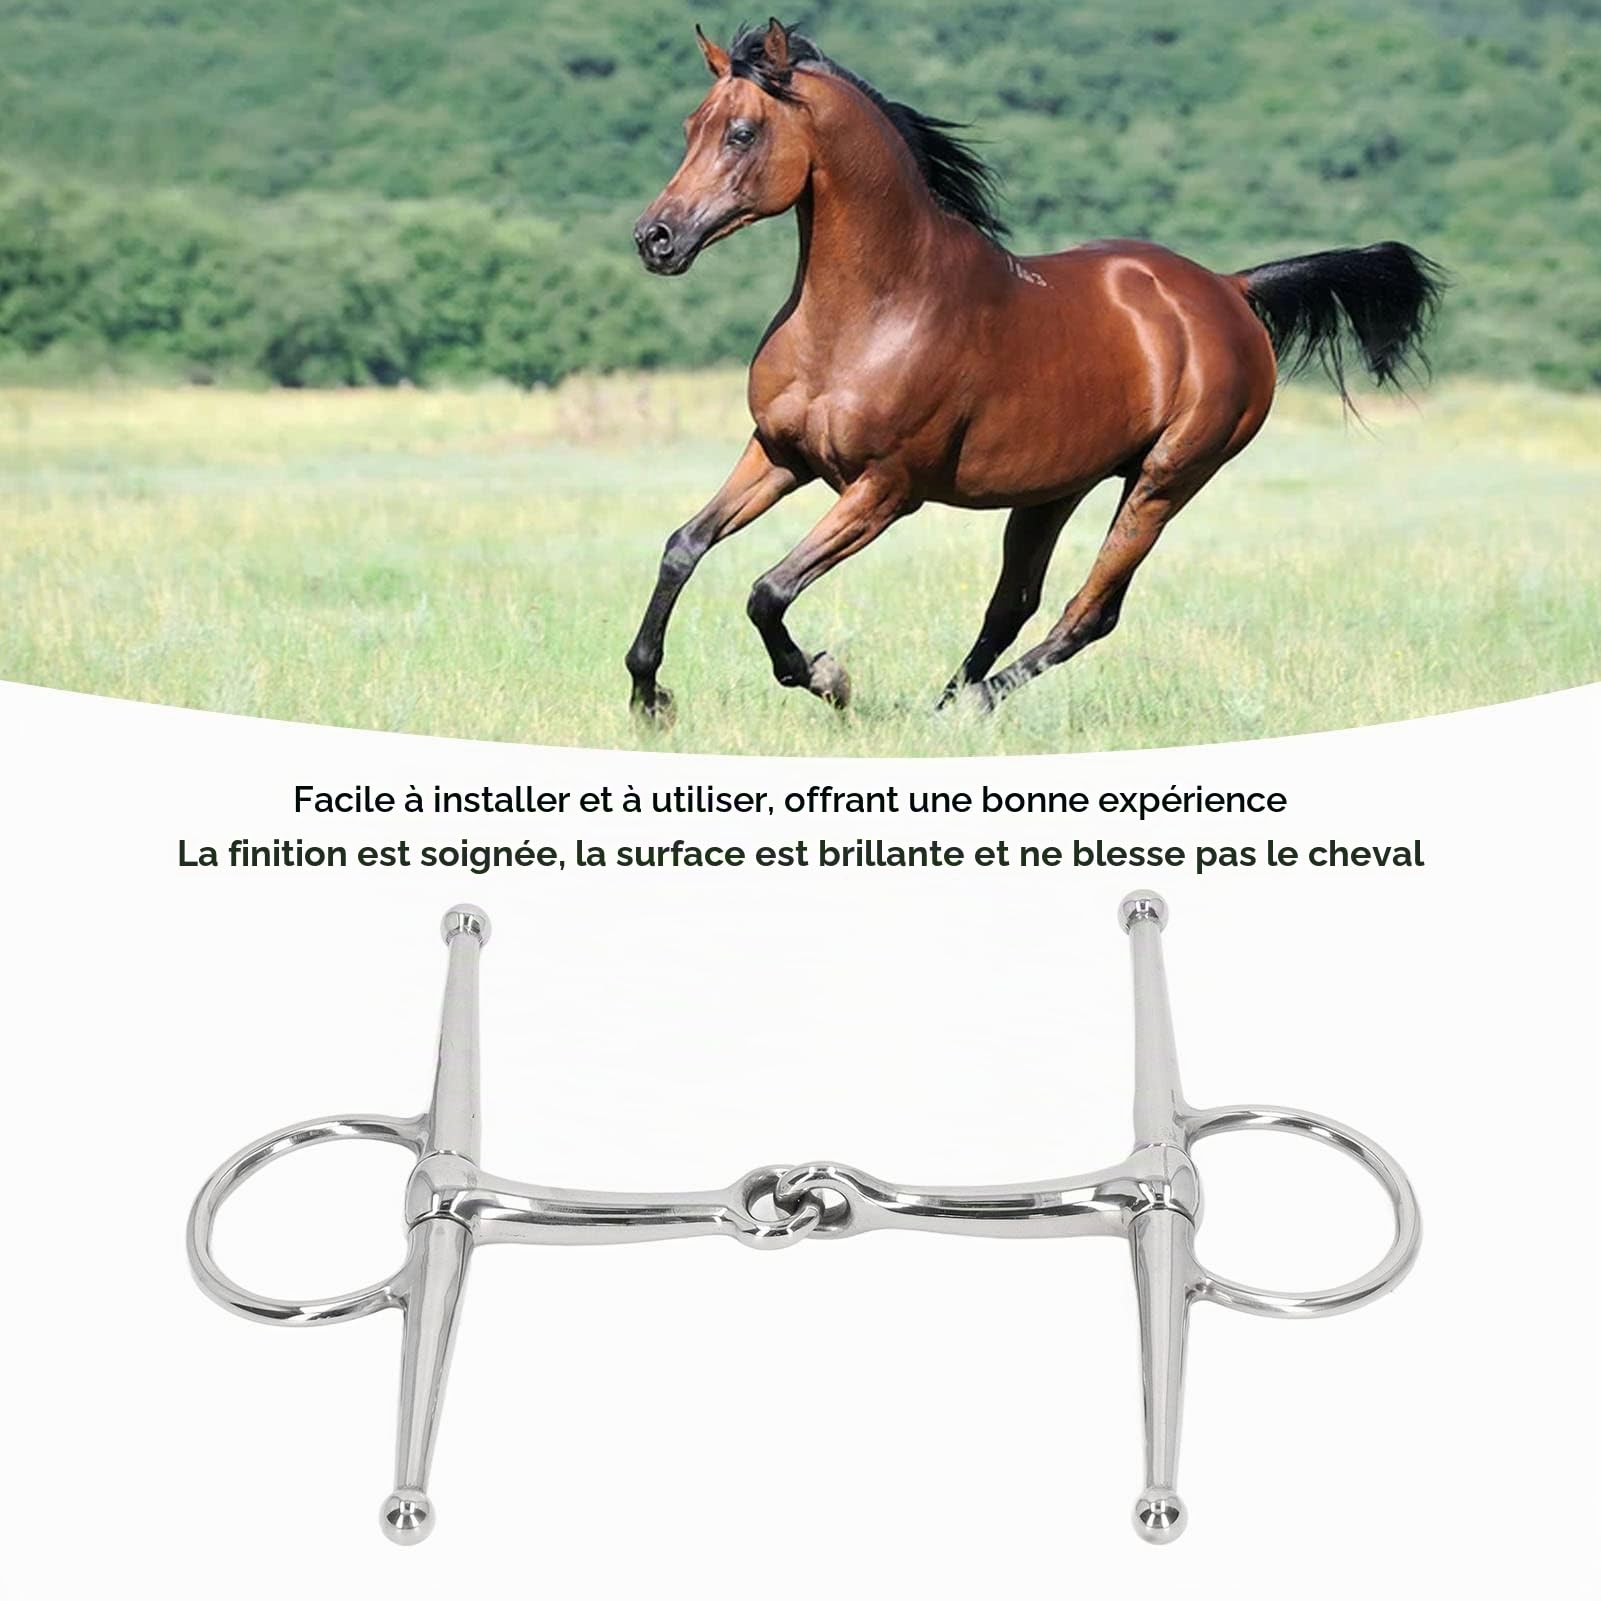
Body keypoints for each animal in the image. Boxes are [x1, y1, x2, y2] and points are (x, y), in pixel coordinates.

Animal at [624, 20, 1443, 724]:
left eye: (742, 132)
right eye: (691, 126)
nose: (654, 238)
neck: (874, 311)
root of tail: (1229, 288)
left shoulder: (885, 491)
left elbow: (768, 591)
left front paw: (829, 677)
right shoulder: (778, 454)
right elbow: (682, 547)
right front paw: (648, 697)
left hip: (1164, 480)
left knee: (1088, 611)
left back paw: (968, 706)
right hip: (1055, 489)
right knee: (1011, 604)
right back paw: (944, 707)